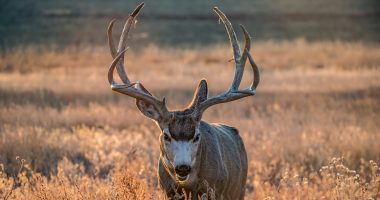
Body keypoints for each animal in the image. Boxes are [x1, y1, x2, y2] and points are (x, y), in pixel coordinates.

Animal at [107, 2, 262, 199]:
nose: (182, 168)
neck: (188, 186)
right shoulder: (166, 190)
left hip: (239, 189)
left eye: (196, 136)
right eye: (166, 135)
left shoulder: (214, 190)